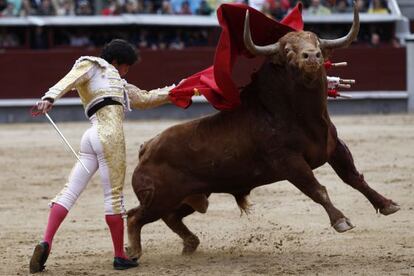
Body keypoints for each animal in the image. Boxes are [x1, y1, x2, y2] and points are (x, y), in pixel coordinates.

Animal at [127, 4, 402, 260]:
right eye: (288, 50)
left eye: (318, 45)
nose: (312, 56)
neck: (303, 117)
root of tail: (146, 148)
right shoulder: (289, 162)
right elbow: (317, 189)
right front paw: (341, 221)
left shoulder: (334, 147)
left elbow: (354, 177)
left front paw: (387, 204)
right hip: (160, 197)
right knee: (135, 216)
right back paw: (134, 252)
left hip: (194, 195)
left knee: (169, 217)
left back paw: (190, 244)